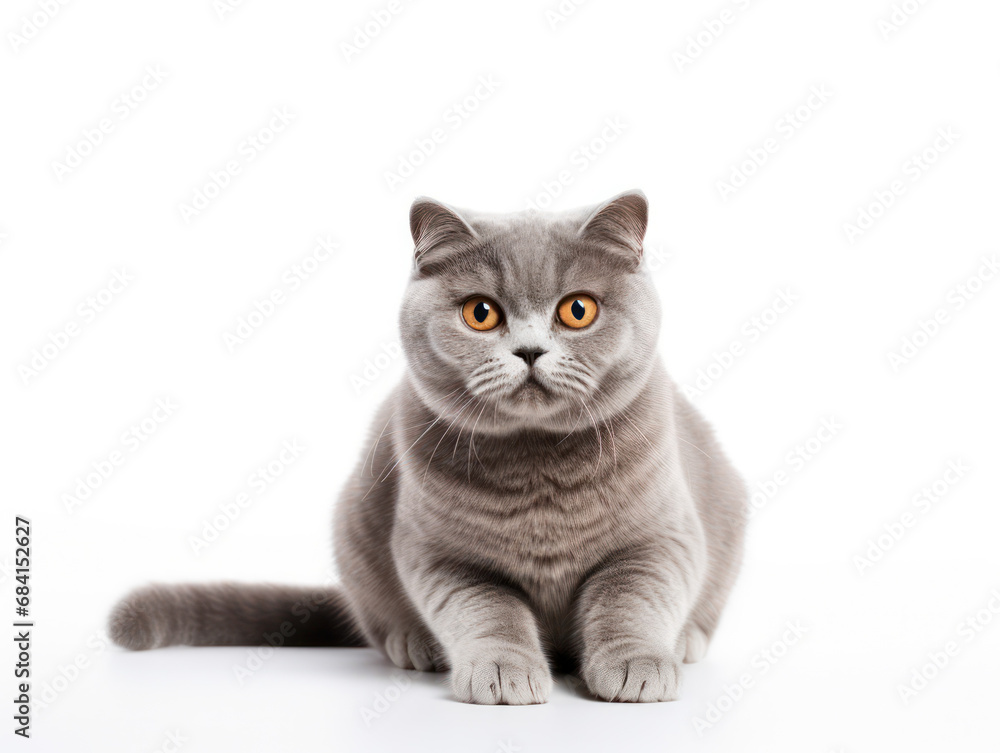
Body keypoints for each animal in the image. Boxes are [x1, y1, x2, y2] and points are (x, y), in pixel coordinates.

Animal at [113, 189, 748, 704]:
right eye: (481, 313)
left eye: (577, 309)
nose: (530, 351)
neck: (539, 470)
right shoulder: (443, 557)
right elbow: (489, 614)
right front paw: (502, 673)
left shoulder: (659, 540)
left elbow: (630, 602)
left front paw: (639, 667)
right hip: (353, 523)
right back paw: (414, 645)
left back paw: (686, 642)